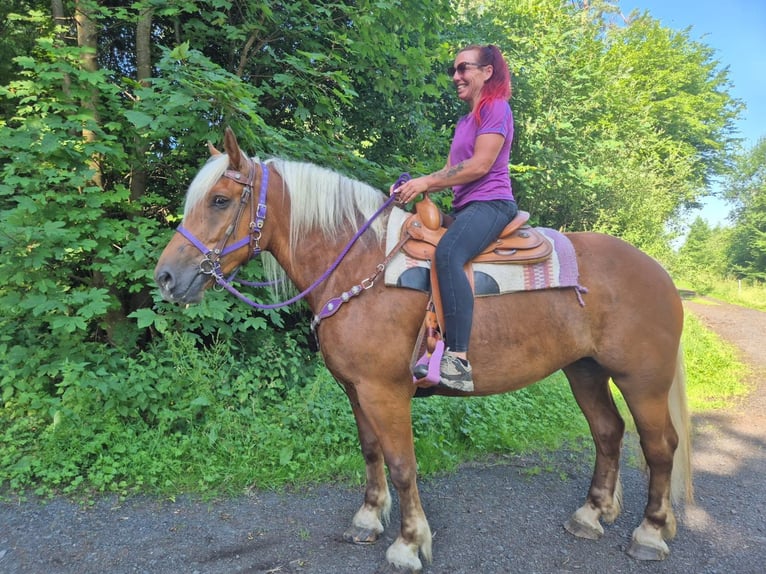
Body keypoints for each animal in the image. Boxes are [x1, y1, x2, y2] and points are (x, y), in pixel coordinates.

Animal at [155, 128, 692, 573]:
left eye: (220, 200)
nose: (166, 278)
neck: (359, 266)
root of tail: (661, 273)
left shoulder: (385, 392)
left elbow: (402, 464)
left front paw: (408, 544)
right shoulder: (356, 390)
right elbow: (371, 451)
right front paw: (368, 520)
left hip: (642, 380)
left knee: (659, 446)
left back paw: (649, 533)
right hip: (585, 370)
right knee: (608, 432)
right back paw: (591, 514)